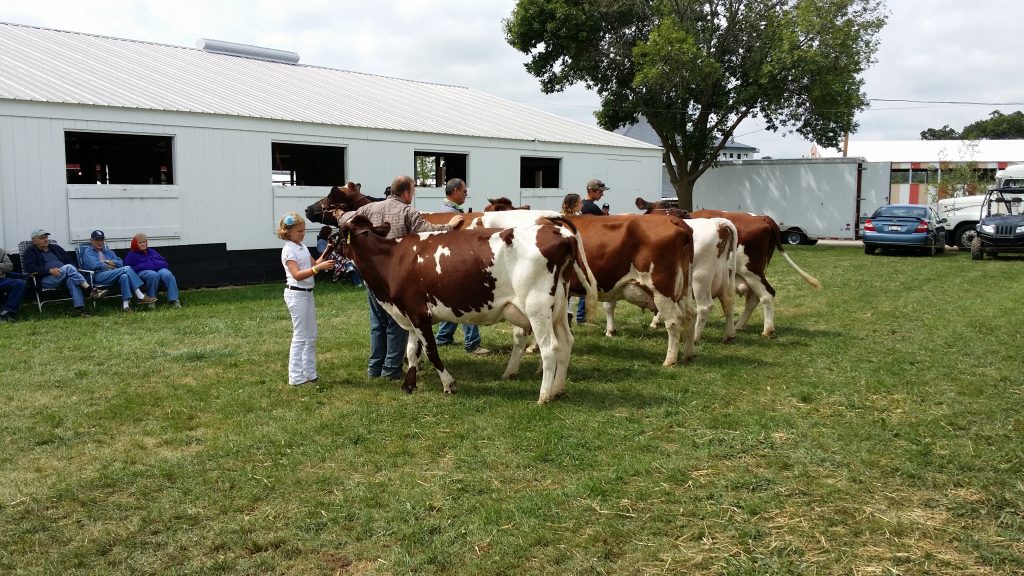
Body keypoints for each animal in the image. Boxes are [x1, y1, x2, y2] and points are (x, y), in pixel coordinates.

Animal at [342, 213, 598, 401]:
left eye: (339, 232)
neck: (394, 259)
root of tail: (559, 231)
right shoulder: (411, 314)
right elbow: (412, 352)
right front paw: (409, 385)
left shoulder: (419, 315)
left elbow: (431, 352)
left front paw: (448, 384)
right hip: (558, 308)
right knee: (566, 342)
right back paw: (558, 389)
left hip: (537, 308)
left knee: (549, 348)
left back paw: (544, 395)